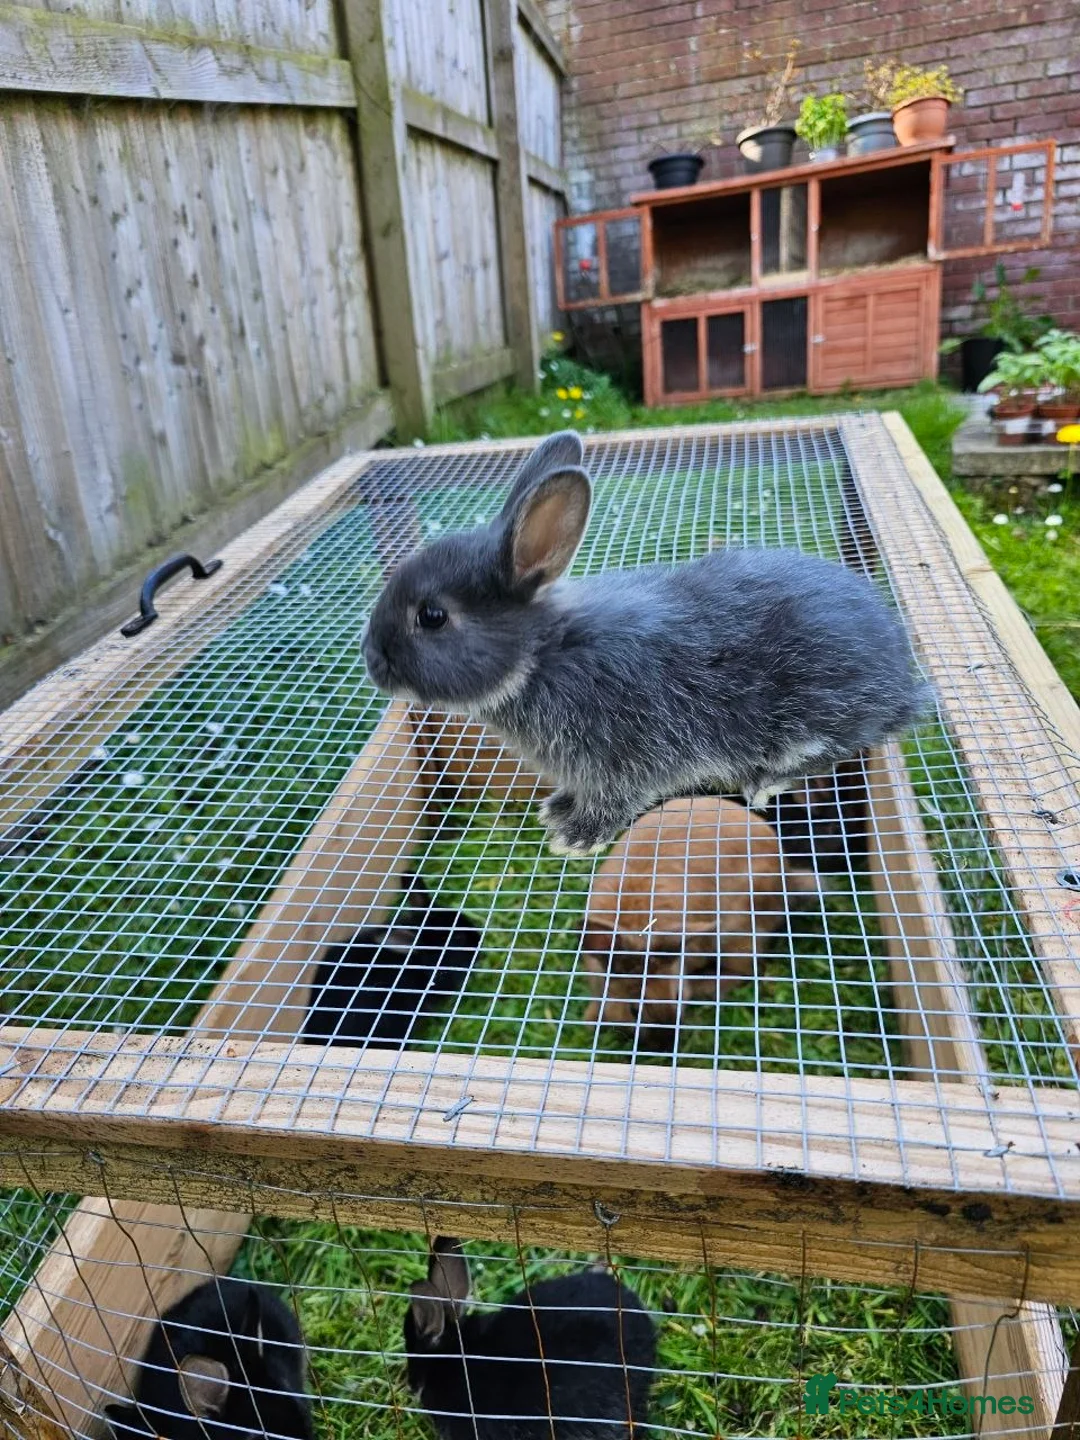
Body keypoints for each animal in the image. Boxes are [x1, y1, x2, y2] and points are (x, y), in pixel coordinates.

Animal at [362, 430, 930, 857]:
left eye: (432, 617)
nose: (372, 662)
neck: (545, 656)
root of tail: (904, 683)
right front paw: (557, 809)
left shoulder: (626, 754)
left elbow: (617, 799)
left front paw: (576, 836)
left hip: (811, 716)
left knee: (830, 751)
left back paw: (764, 782)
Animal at [582, 795, 818, 1048]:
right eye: (633, 1011)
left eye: (676, 996)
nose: (666, 1048)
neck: (636, 924)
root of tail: (787, 876)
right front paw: (590, 1019)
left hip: (738, 928)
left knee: (746, 971)